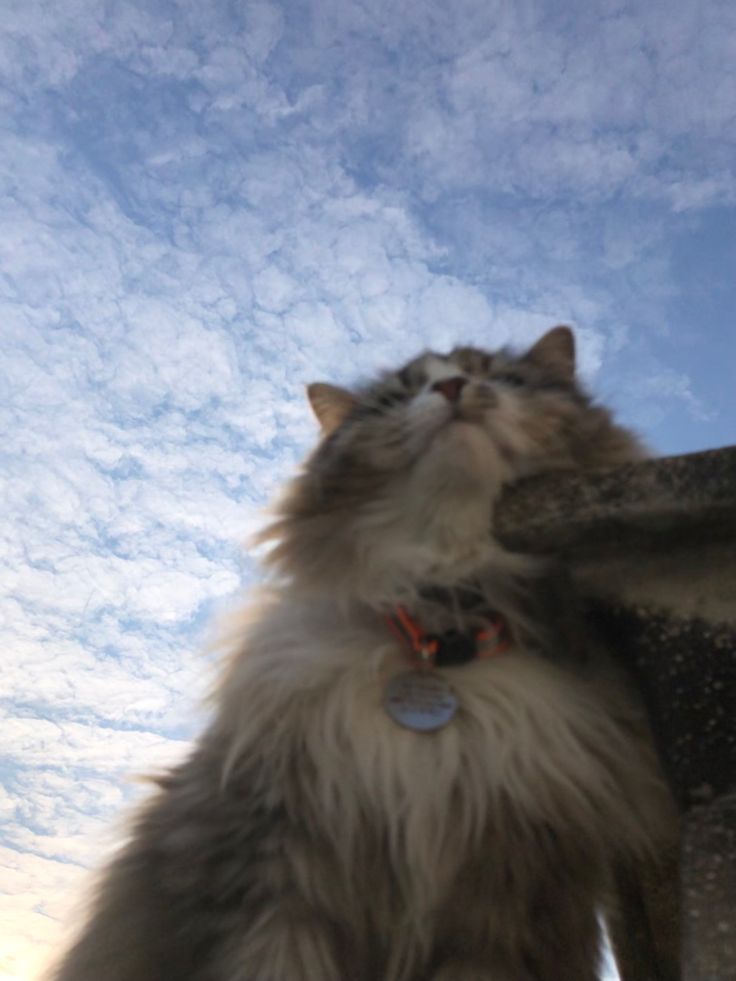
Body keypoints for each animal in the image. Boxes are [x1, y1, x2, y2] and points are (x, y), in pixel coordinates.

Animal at [50, 328, 672, 980]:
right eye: (401, 396)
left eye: (495, 377)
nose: (452, 387)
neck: (441, 637)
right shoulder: (274, 870)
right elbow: (272, 963)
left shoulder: (508, 899)